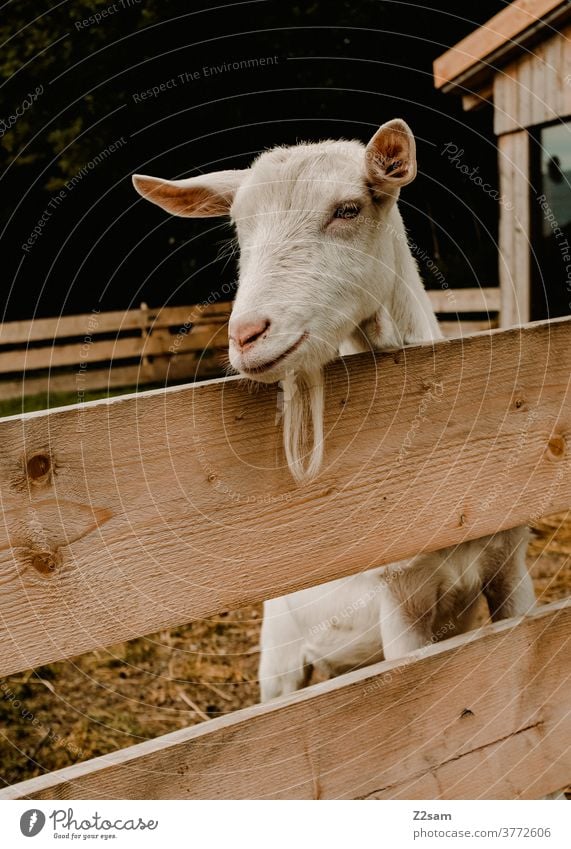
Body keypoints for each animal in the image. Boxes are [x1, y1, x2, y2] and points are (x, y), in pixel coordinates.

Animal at [133, 117, 536, 704]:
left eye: (348, 209)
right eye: (238, 227)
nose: (245, 335)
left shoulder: (509, 566)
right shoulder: (400, 603)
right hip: (278, 659)